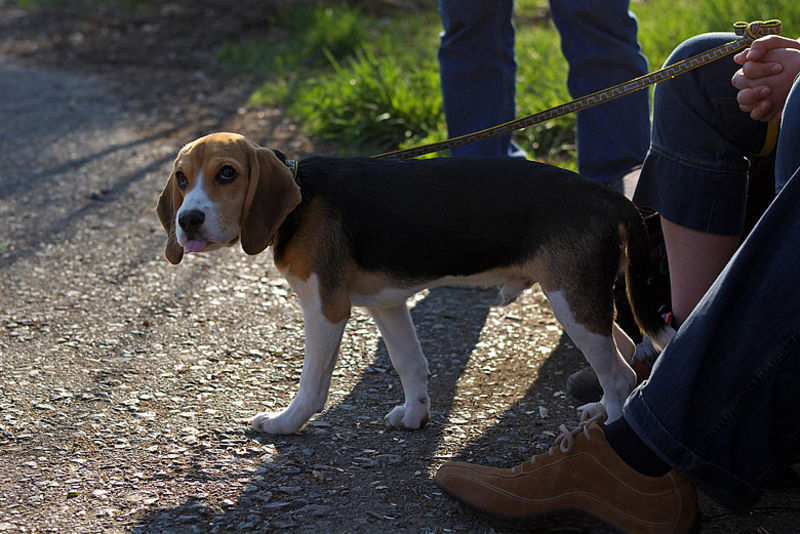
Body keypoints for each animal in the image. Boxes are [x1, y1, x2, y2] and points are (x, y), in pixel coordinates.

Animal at [157, 132, 674, 433]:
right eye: (181, 179)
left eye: (228, 174)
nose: (188, 221)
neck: (300, 195)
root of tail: (608, 197)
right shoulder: (386, 305)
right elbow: (409, 363)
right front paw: (414, 414)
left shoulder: (326, 309)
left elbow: (312, 382)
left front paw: (287, 422)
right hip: (581, 302)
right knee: (623, 356)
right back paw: (600, 409)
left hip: (571, 300)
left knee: (621, 372)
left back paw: (612, 429)